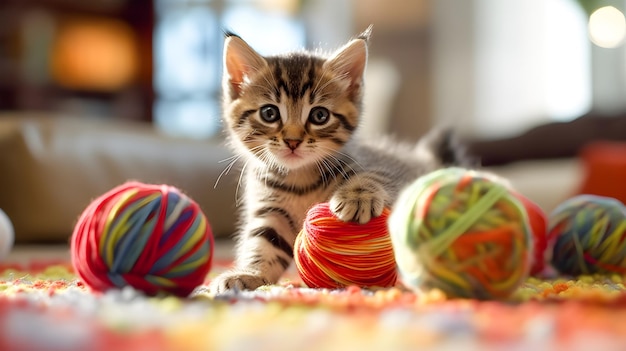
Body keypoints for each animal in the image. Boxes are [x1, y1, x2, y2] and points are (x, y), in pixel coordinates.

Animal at [208, 26, 464, 294]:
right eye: (269, 113)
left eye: (319, 115)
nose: (292, 141)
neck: (299, 180)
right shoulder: (269, 210)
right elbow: (263, 243)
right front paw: (249, 274)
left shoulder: (384, 166)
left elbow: (375, 176)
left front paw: (357, 197)